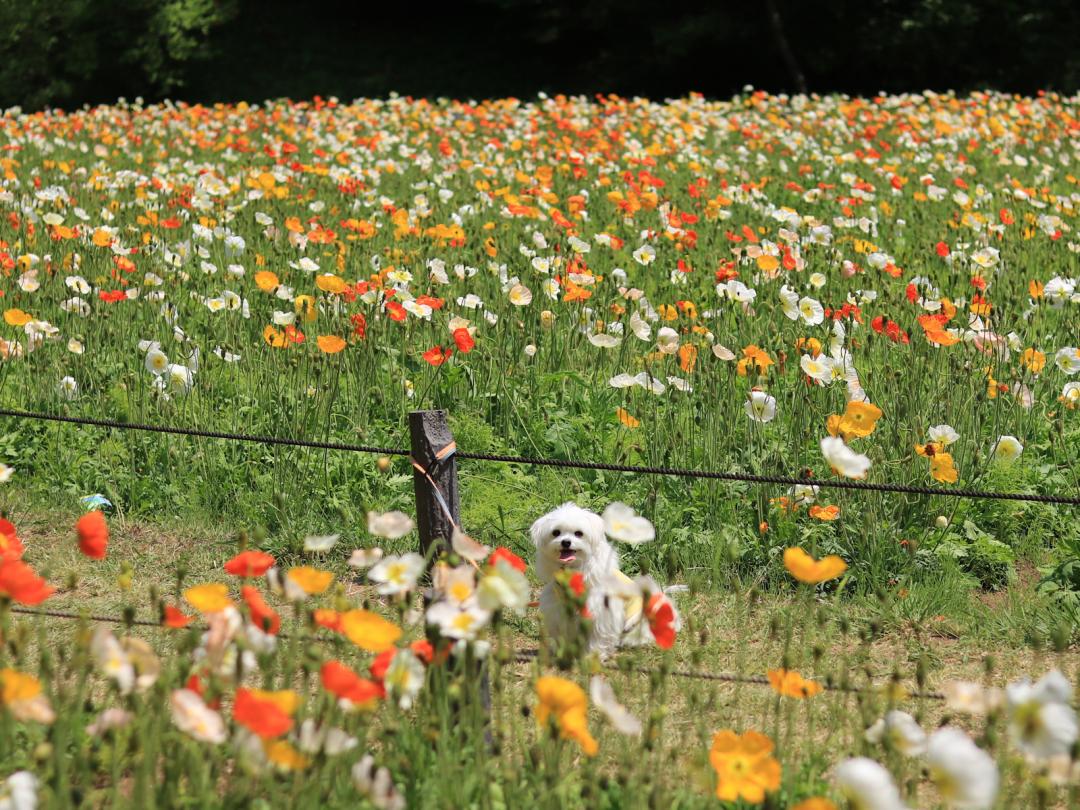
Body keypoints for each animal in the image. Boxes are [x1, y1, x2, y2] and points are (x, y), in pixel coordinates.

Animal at [531, 505, 639, 656]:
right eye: (556, 532)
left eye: (579, 533)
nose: (566, 542)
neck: (572, 571)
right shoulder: (558, 609)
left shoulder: (599, 612)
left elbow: (597, 637)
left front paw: (592, 656)